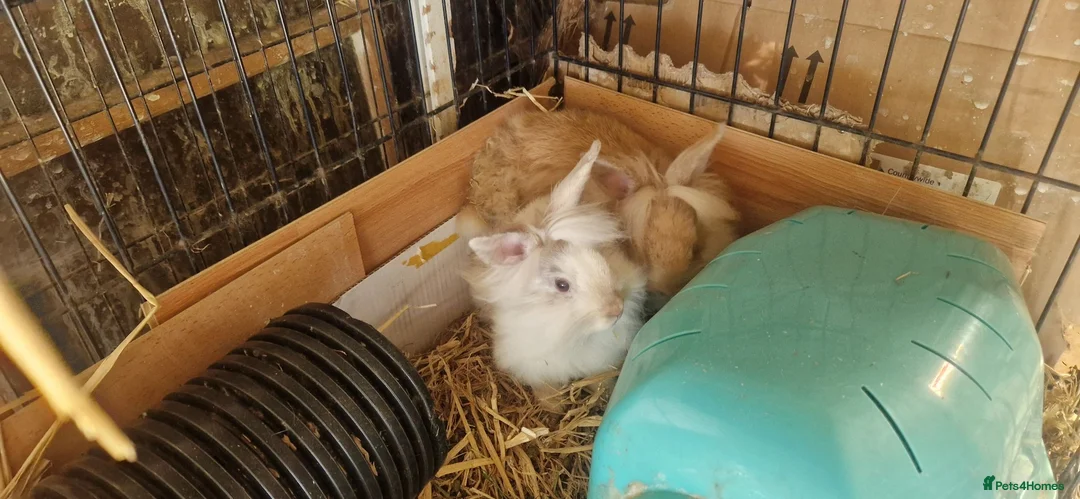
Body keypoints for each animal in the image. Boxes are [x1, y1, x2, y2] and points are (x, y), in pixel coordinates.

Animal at [462, 140, 648, 400]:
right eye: (562, 285)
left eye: (599, 254)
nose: (616, 309)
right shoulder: (538, 370)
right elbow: (548, 395)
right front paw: (554, 407)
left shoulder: (601, 363)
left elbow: (600, 383)